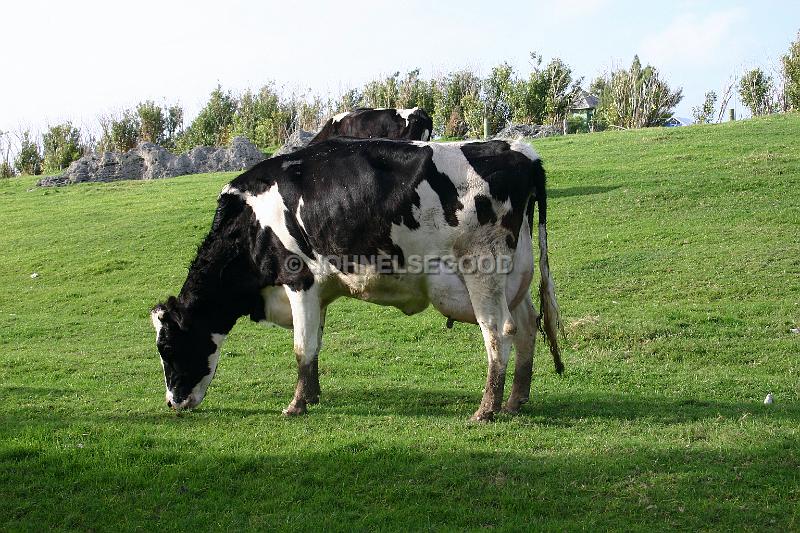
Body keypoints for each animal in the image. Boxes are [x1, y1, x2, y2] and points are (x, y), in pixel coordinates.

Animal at [150, 139, 564, 422]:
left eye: (167, 348)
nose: (172, 402)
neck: (251, 221)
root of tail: (521, 151)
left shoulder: (298, 279)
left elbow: (301, 347)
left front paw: (295, 405)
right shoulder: (318, 292)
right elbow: (314, 345)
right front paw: (312, 396)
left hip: (482, 270)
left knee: (499, 332)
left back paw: (486, 409)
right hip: (516, 276)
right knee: (527, 325)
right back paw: (515, 400)